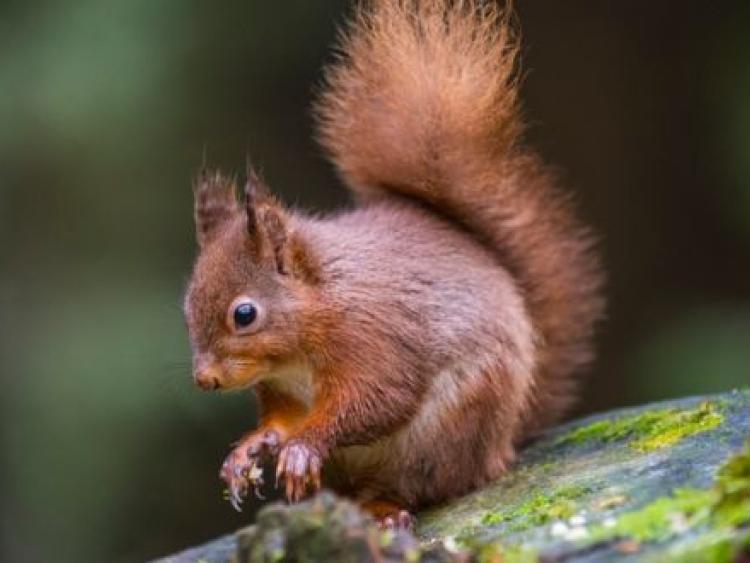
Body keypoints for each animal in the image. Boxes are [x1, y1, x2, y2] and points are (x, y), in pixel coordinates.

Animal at [183, 0, 604, 528]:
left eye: (245, 314)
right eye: (186, 306)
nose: (205, 380)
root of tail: (502, 447)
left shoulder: (375, 340)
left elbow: (378, 400)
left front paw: (303, 446)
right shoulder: (284, 388)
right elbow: (281, 421)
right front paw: (249, 450)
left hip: (445, 431)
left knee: (418, 487)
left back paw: (385, 510)